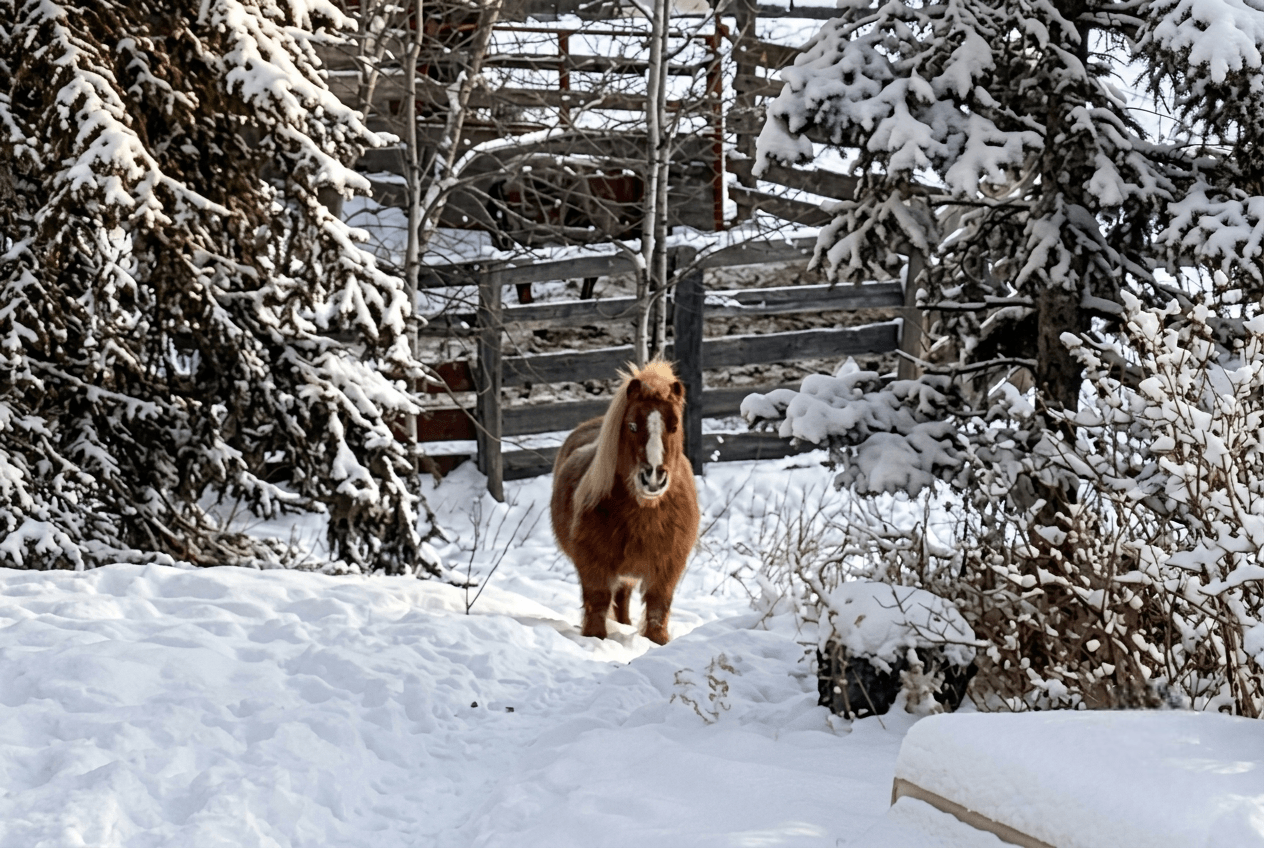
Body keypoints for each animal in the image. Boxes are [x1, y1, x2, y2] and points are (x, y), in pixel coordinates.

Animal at [550, 360, 700, 645]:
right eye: (631, 426)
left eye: (674, 426)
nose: (653, 477)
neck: (644, 515)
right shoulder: (594, 566)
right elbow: (597, 604)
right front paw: (595, 639)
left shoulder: (667, 569)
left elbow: (658, 609)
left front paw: (656, 641)